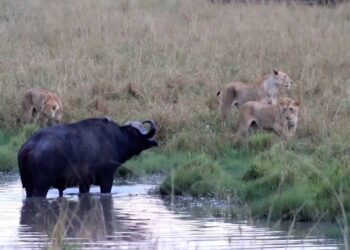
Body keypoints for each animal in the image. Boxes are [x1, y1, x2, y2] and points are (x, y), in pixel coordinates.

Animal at [17, 117, 157, 197]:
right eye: (135, 133)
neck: (116, 139)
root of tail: (29, 145)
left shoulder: (85, 183)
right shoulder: (107, 178)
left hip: (28, 186)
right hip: (41, 186)